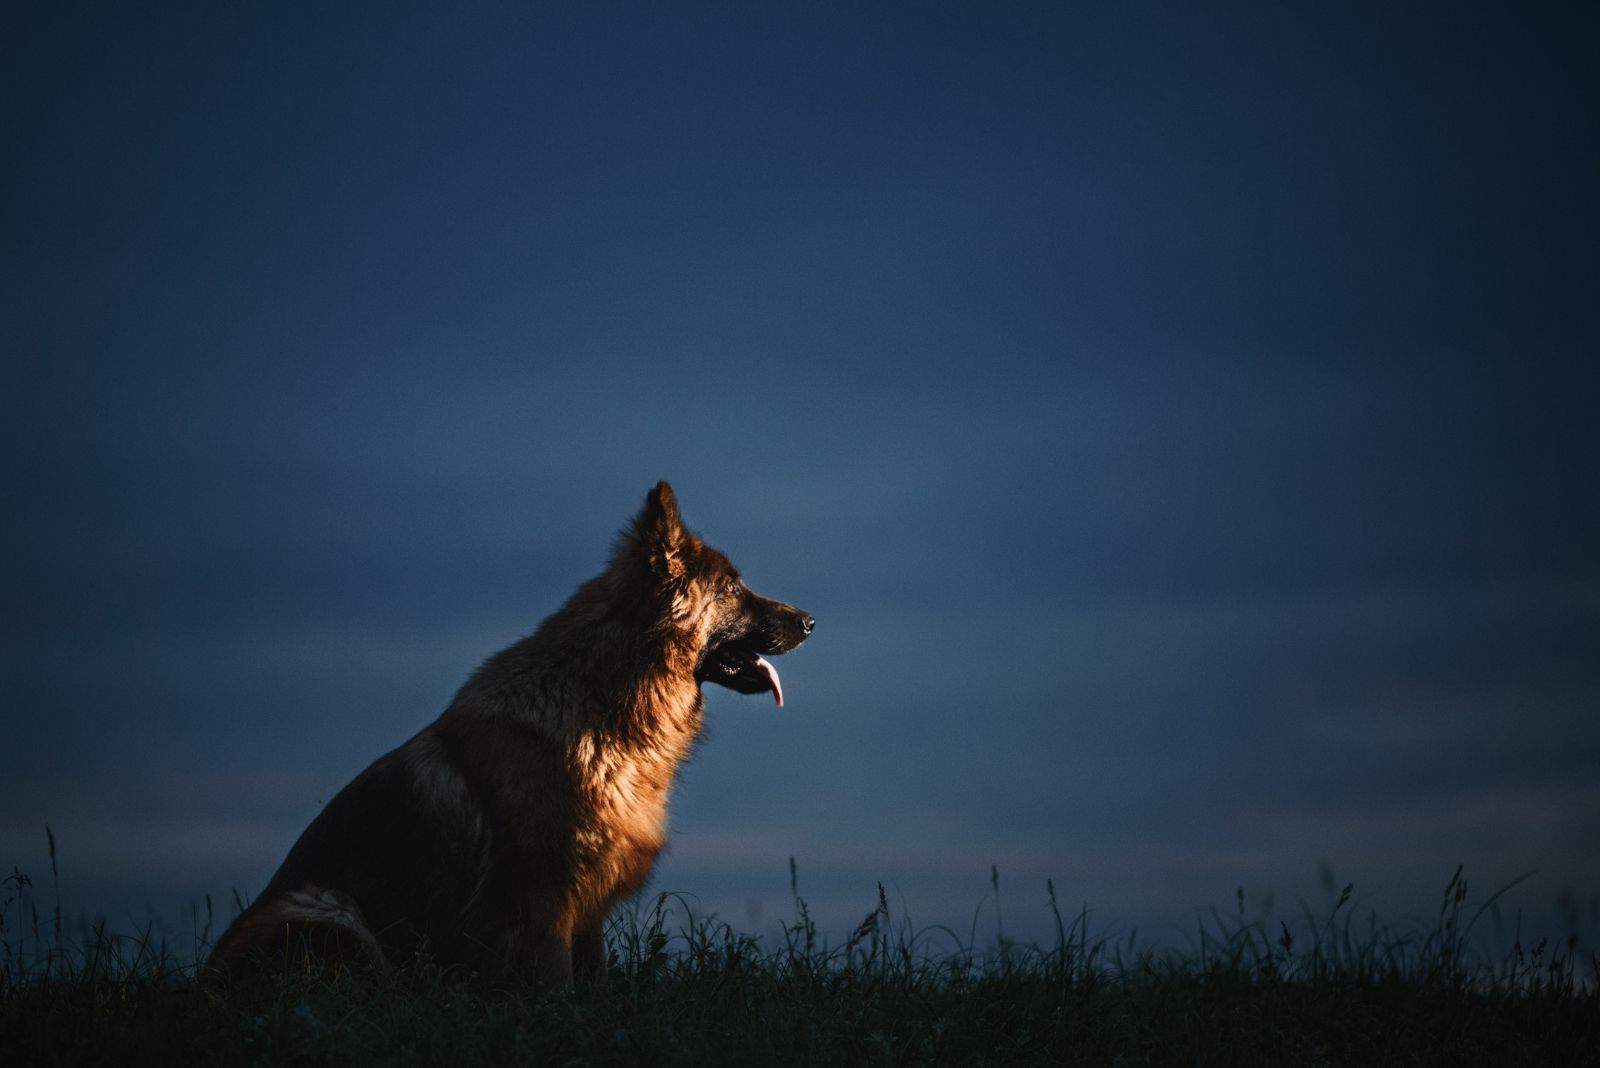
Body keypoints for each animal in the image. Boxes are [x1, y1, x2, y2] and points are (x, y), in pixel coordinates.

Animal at [209, 482, 812, 984]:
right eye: (732, 587)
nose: (809, 622)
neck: (604, 695)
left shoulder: (586, 905)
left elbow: (595, 979)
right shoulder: (540, 901)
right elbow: (556, 986)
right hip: (327, 910)